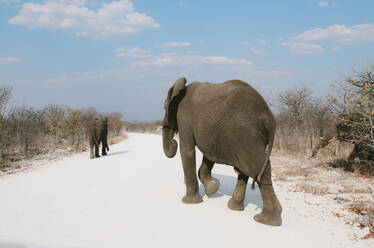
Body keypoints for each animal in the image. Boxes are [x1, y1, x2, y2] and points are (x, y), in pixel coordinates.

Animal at [162, 78, 282, 227]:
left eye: (165, 108)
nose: (173, 142)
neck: (182, 89)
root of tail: (270, 120)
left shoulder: (184, 117)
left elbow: (187, 151)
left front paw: (189, 202)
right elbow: (209, 156)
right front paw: (212, 188)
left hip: (247, 135)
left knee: (259, 170)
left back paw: (265, 220)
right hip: (247, 138)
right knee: (245, 170)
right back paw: (235, 208)